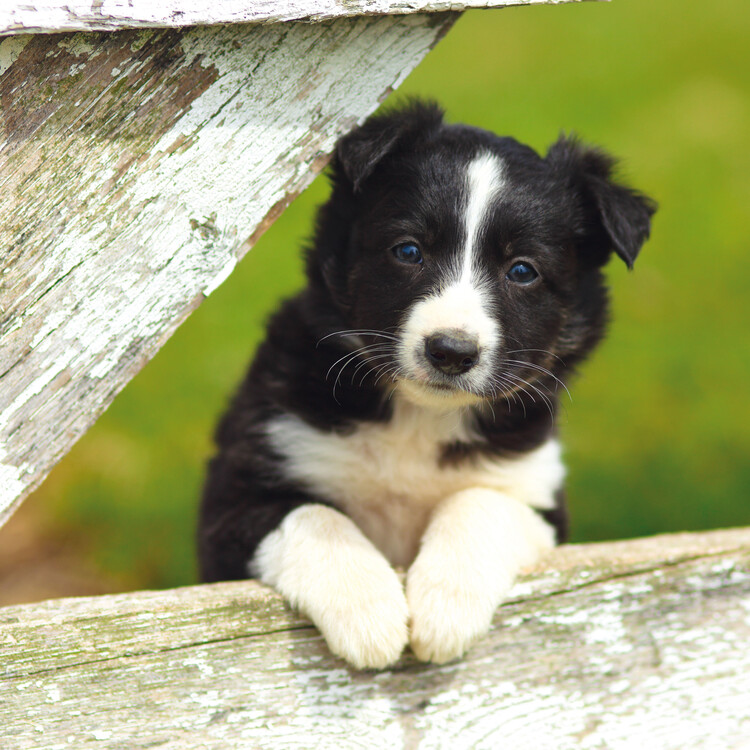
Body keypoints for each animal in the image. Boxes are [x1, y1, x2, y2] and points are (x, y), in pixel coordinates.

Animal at [200, 103, 656, 672]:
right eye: (408, 250)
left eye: (522, 270)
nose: (452, 352)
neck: (419, 417)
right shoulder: (235, 495)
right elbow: (314, 515)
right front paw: (367, 610)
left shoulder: (537, 494)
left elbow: (480, 502)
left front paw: (446, 609)